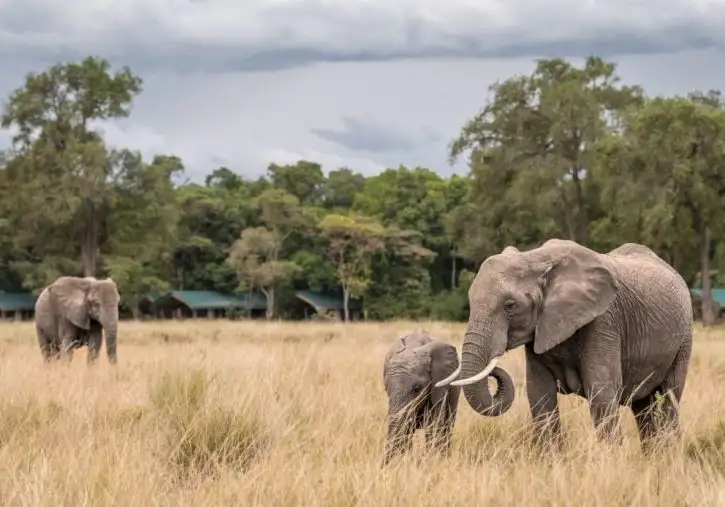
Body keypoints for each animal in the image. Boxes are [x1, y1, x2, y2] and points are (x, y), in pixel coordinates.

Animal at [432, 240, 692, 450]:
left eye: (510, 306)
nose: (494, 368)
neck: (536, 259)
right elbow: (539, 394)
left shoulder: (603, 322)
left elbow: (602, 392)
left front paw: (611, 461)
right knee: (643, 406)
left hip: (684, 338)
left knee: (670, 396)